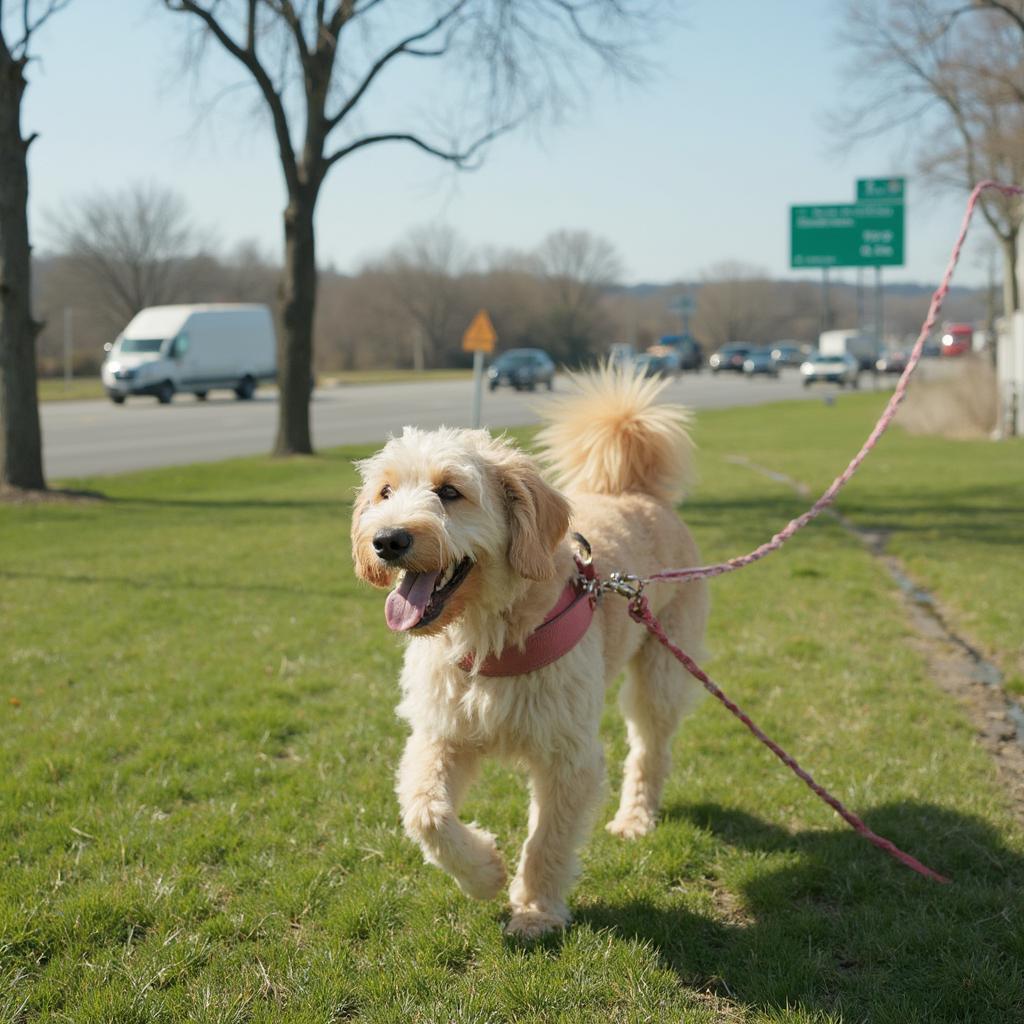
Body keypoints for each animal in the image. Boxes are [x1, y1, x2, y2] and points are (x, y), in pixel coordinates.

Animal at [348, 368, 708, 937]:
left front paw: (536, 911)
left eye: (450, 491)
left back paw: (634, 818)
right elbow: (424, 812)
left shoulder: (566, 754)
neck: (487, 638)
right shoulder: (441, 733)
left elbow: (548, 839)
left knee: (650, 749)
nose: (386, 540)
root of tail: (630, 491)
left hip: (661, 669)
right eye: (385, 491)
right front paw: (484, 874)